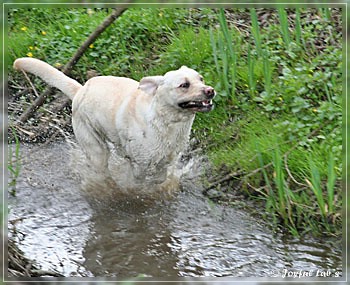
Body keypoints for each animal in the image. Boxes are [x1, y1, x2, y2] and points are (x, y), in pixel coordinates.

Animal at [14, 57, 216, 186]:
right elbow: (139, 182)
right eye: (184, 85)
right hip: (95, 148)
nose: (210, 90)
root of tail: (80, 89)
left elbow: (159, 178)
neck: (166, 122)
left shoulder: (167, 159)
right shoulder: (141, 165)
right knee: (102, 168)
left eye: (201, 78)